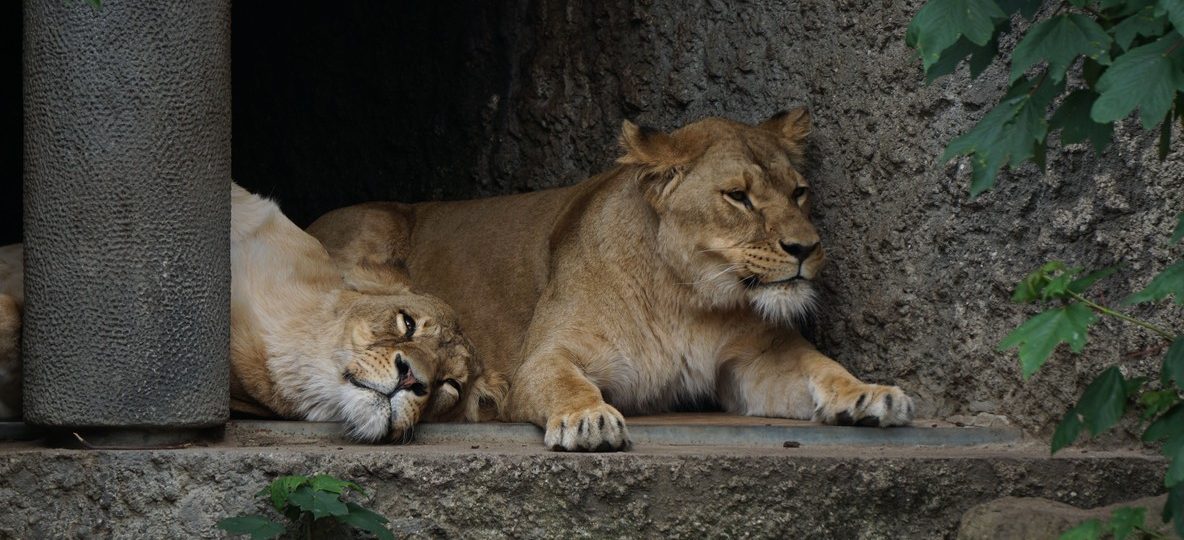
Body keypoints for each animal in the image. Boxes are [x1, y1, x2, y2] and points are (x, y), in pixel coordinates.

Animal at [321, 109, 916, 452]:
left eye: (798, 192)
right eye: (738, 197)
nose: (805, 248)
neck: (688, 299)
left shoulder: (750, 364)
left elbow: (819, 367)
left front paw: (869, 394)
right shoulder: (543, 357)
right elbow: (566, 382)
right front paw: (589, 419)